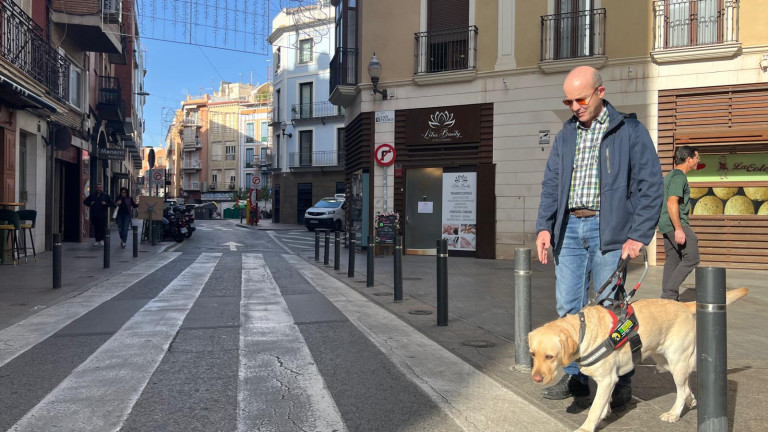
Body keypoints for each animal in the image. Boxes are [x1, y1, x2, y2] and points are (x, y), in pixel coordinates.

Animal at [528, 286, 752, 432]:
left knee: (681, 390)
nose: (536, 379)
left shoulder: (607, 379)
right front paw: (604, 414)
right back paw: (691, 400)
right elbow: (603, 403)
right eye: (532, 354)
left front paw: (587, 427)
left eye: (550, 356)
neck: (583, 331)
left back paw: (674, 413)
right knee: (686, 387)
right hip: (664, 360)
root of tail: (683, 306)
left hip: (677, 360)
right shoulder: (608, 380)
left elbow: (595, 408)